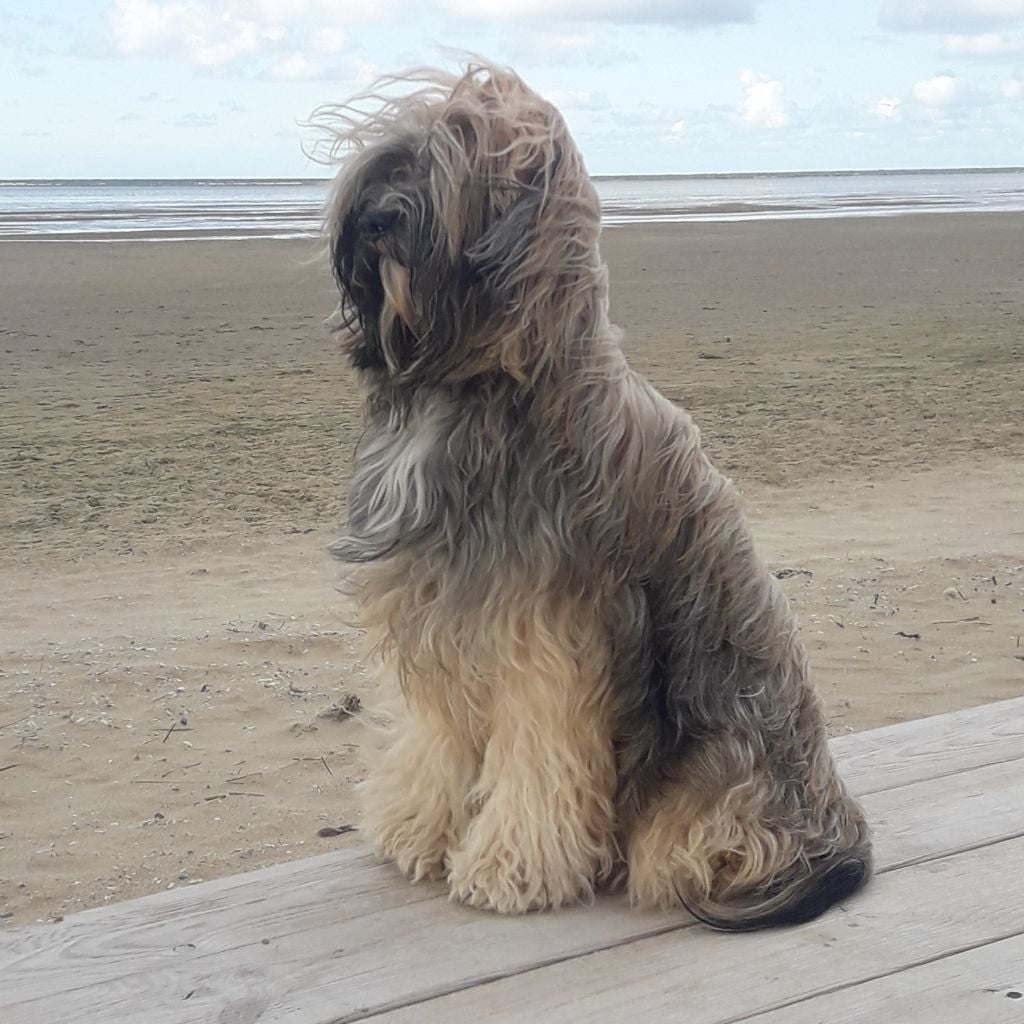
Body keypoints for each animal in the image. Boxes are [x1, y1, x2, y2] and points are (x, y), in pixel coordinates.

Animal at [321, 61, 871, 929]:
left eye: (467, 142)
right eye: (403, 146)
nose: (377, 215)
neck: (477, 385)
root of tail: (835, 825)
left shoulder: (544, 629)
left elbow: (536, 757)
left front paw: (511, 867)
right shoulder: (441, 608)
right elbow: (440, 732)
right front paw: (418, 827)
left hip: (724, 758)